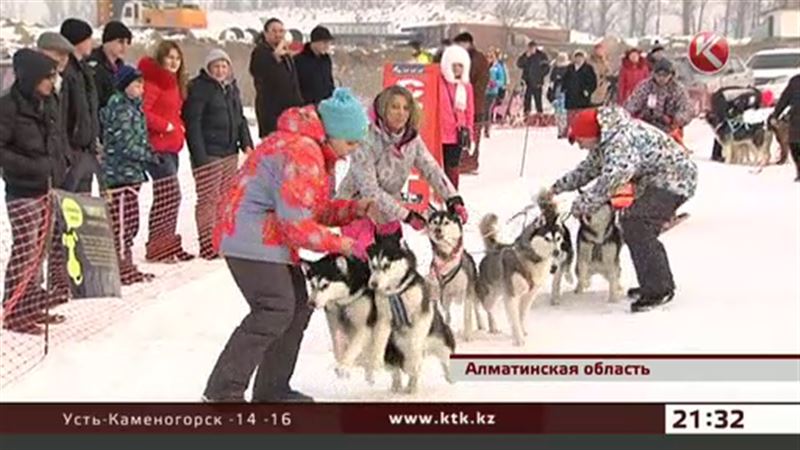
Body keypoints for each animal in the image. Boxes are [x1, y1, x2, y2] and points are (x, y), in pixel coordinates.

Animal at [368, 232, 456, 394]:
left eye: (386, 265)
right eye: (373, 265)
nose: (373, 284)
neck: (396, 293)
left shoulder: (422, 315)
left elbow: (414, 342)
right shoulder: (384, 319)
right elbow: (379, 341)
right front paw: (374, 362)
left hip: (442, 344)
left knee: (442, 360)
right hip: (392, 349)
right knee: (397, 369)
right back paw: (400, 386)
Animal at [424, 209, 494, 340]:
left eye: (446, 222)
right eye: (435, 222)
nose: (437, 230)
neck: (447, 258)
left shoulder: (467, 292)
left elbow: (467, 316)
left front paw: (468, 336)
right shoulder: (443, 294)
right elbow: (447, 315)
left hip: (476, 292)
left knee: (481, 309)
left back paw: (491, 327)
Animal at [476, 202, 568, 346]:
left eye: (558, 238)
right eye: (547, 238)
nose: (556, 252)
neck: (532, 258)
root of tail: (494, 249)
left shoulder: (529, 295)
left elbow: (522, 316)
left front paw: (522, 331)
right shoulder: (512, 296)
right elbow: (514, 320)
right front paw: (519, 339)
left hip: (498, 294)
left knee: (489, 310)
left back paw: (493, 328)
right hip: (489, 296)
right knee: (481, 305)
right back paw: (483, 323)